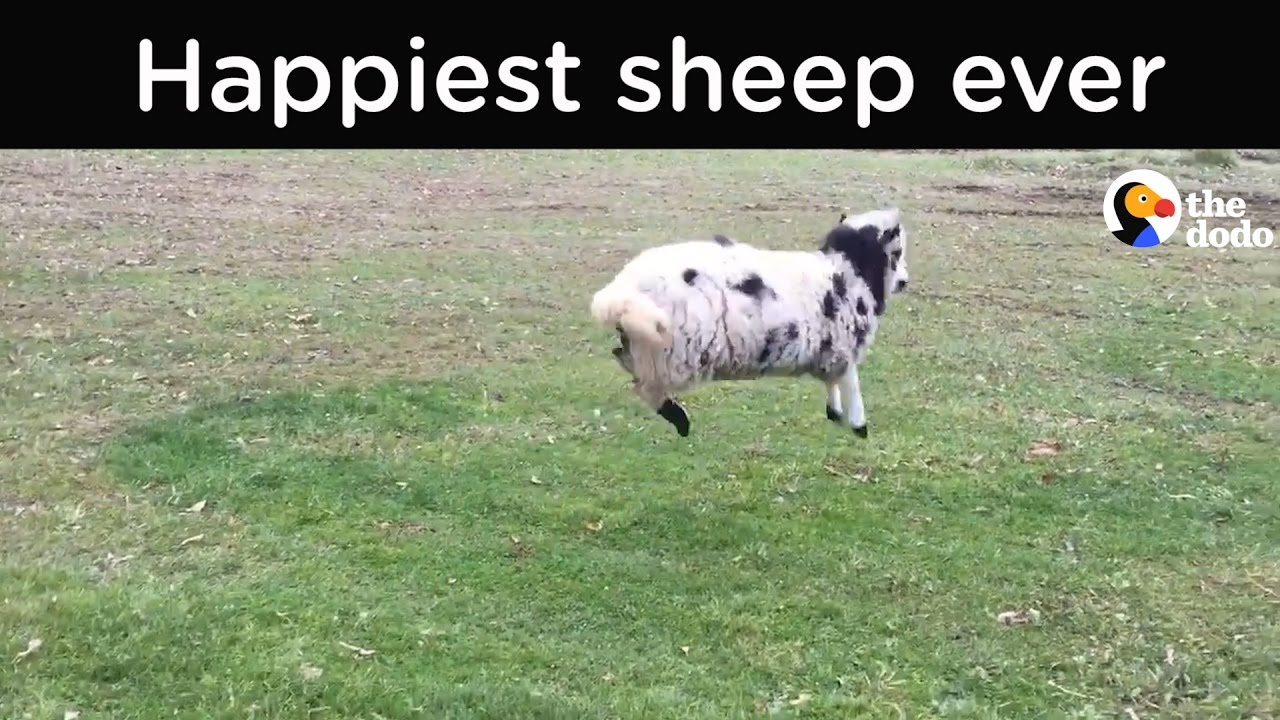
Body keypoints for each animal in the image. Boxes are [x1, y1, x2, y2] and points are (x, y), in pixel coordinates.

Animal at [590, 206, 911, 439]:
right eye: (897, 253)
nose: (905, 282)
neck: (849, 271)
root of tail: (623, 288)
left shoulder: (829, 352)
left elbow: (832, 382)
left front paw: (835, 413)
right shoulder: (844, 347)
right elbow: (852, 385)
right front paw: (859, 426)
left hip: (651, 346)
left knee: (626, 362)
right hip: (671, 354)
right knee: (645, 386)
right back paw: (680, 422)